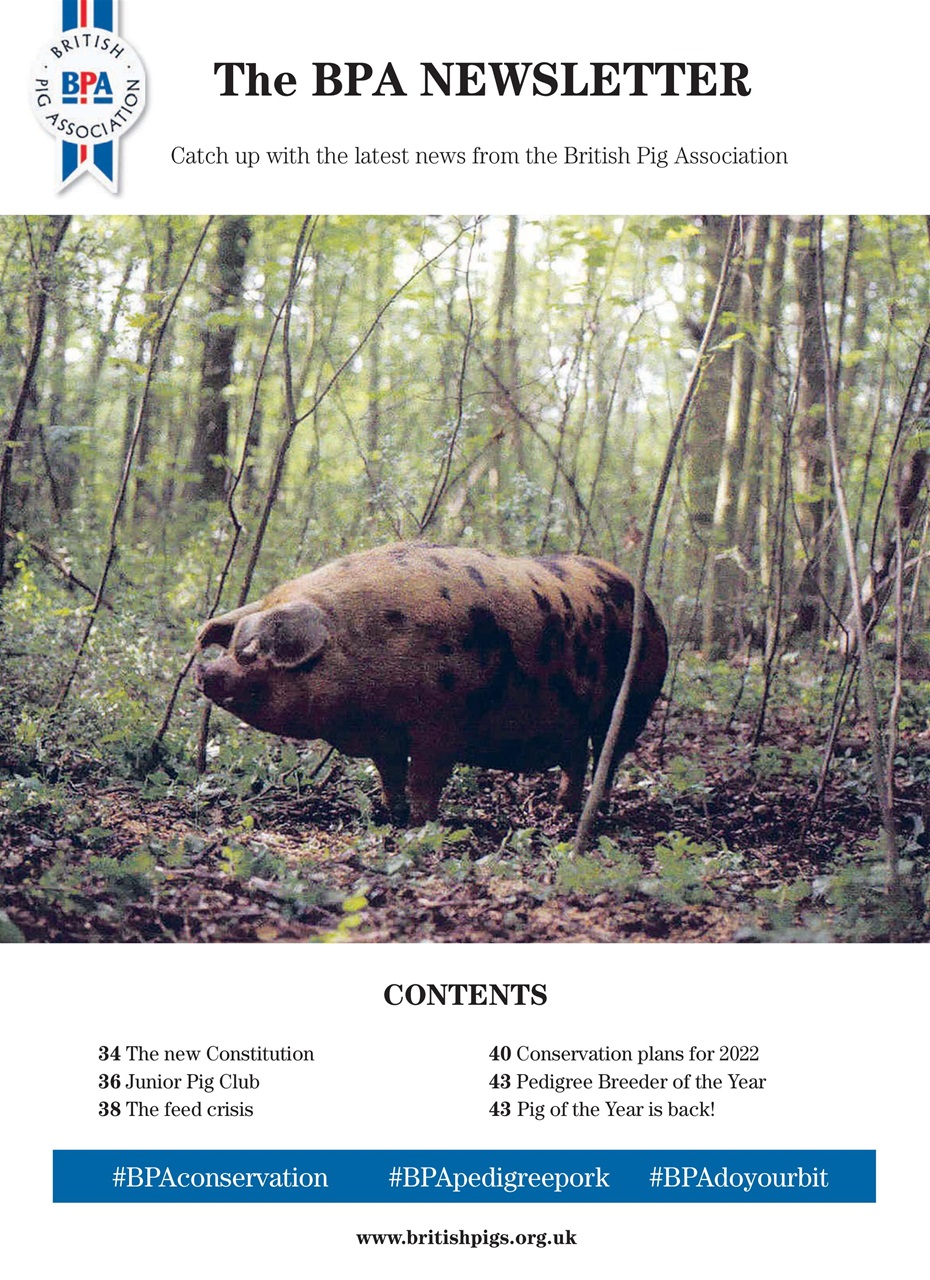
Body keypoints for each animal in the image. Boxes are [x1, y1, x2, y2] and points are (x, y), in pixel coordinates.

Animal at [194, 542, 668, 824]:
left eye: (253, 651)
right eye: (233, 644)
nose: (204, 671)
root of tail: (650, 605)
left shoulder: (441, 726)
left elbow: (425, 778)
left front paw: (421, 822)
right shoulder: (383, 735)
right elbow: (390, 774)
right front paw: (390, 814)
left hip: (636, 702)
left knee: (608, 755)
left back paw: (592, 812)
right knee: (576, 759)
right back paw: (556, 810)